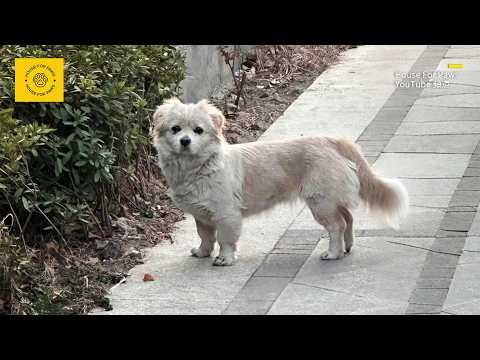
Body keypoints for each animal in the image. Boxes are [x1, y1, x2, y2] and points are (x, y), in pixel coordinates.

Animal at [151, 97, 408, 266]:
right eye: (175, 129)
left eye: (198, 130)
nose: (185, 141)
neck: (199, 167)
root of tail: (332, 141)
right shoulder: (202, 216)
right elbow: (205, 237)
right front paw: (202, 252)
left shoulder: (226, 214)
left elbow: (225, 239)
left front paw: (225, 259)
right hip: (330, 199)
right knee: (348, 219)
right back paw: (347, 247)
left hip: (320, 202)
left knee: (337, 226)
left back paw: (333, 253)